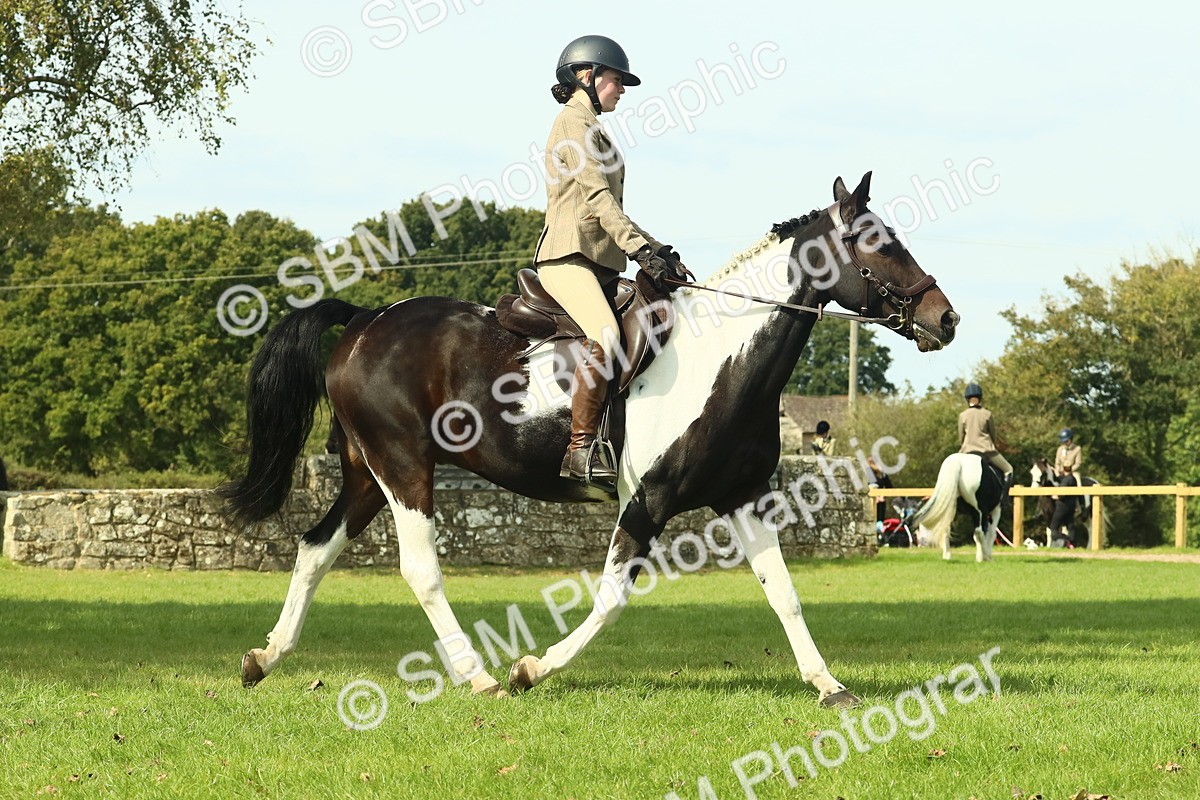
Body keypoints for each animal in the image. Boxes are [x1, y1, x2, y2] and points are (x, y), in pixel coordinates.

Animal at [219, 172, 958, 708]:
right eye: (879, 243)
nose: (944, 317)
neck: (725, 357)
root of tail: (365, 319)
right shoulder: (648, 503)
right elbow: (611, 599)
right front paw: (531, 669)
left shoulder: (744, 498)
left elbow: (784, 593)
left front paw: (830, 687)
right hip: (403, 468)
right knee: (420, 569)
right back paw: (478, 677)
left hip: (366, 472)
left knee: (315, 548)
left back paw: (264, 657)